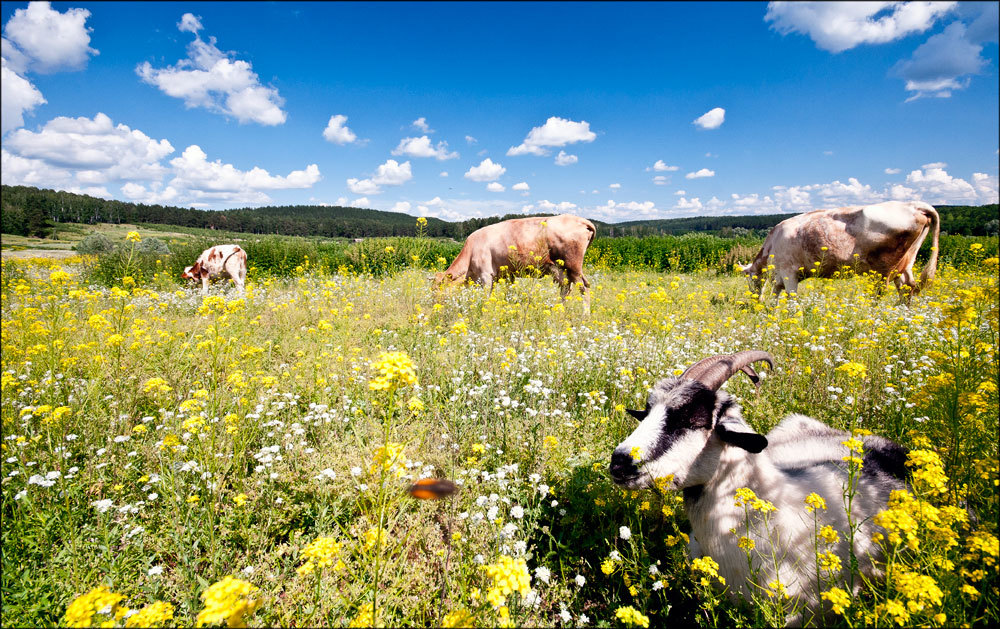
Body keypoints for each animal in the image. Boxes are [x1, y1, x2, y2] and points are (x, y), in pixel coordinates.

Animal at [436, 215, 592, 312]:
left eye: (438, 288)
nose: (434, 305)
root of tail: (580, 220)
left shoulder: (486, 274)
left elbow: (487, 295)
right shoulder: (506, 275)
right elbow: (508, 292)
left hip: (573, 267)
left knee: (583, 288)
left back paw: (585, 315)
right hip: (563, 270)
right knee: (567, 288)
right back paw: (559, 310)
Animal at [744, 200, 936, 300]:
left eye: (749, 279)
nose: (753, 300)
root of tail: (913, 205)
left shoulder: (788, 272)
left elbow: (792, 299)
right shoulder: (779, 277)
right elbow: (774, 297)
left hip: (883, 269)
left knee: (881, 293)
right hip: (905, 265)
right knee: (907, 287)